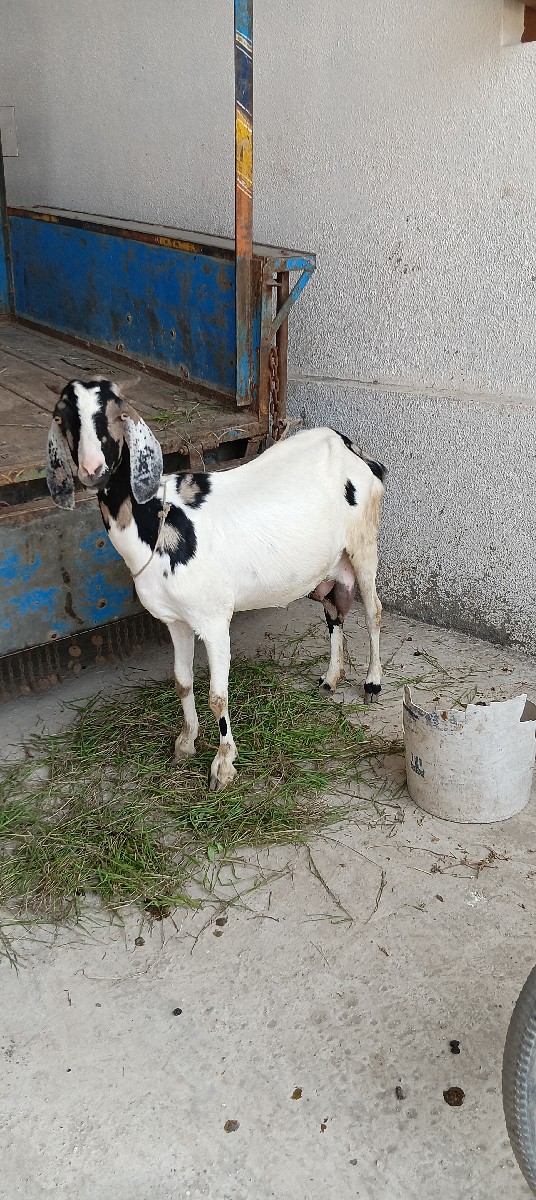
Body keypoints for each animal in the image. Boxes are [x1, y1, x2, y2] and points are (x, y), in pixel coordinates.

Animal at [46, 379, 386, 791]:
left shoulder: (213, 620)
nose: (92, 468)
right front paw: (185, 743)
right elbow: (182, 681)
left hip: (364, 543)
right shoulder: (175, 620)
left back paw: (372, 683)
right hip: (330, 566)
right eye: (63, 417)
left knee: (373, 611)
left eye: (118, 414)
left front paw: (223, 767)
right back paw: (331, 679)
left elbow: (218, 697)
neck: (158, 518)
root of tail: (350, 447)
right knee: (334, 611)